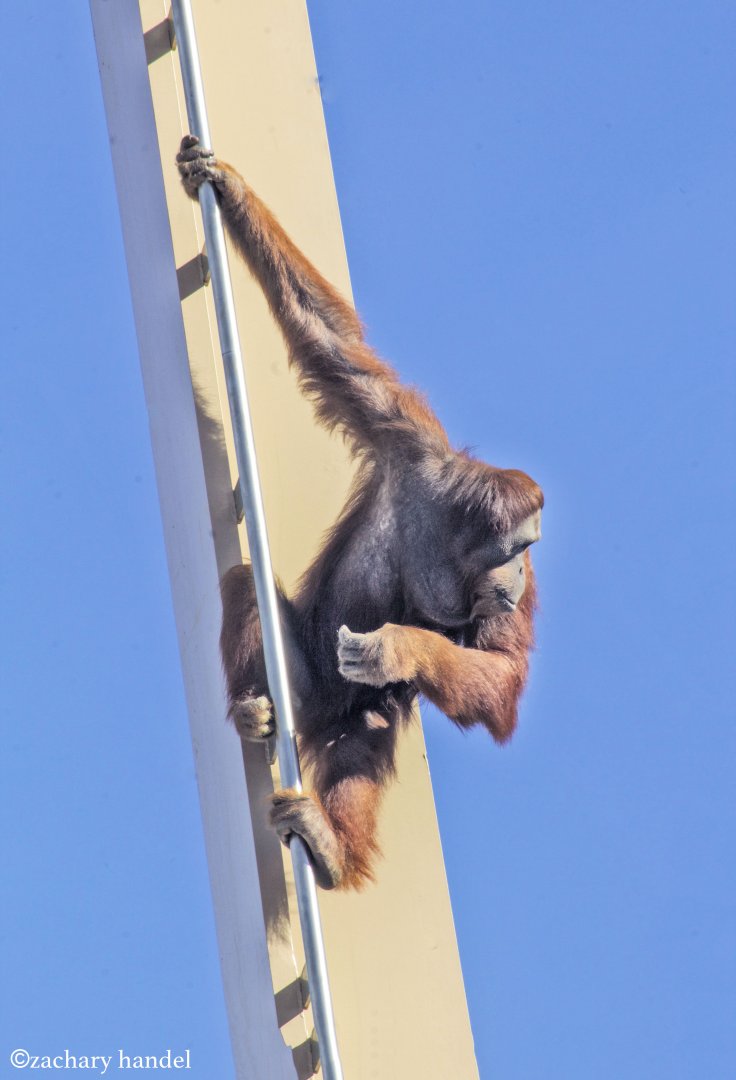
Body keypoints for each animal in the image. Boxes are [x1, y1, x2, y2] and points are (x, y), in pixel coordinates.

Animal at [177, 135, 543, 890]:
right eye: (518, 549)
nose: (523, 578)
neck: (456, 534)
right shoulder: (405, 436)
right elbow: (328, 343)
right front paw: (227, 186)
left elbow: (498, 677)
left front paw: (396, 646)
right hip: (304, 683)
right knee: (246, 589)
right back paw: (250, 711)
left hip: (339, 706)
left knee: (370, 718)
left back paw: (328, 845)